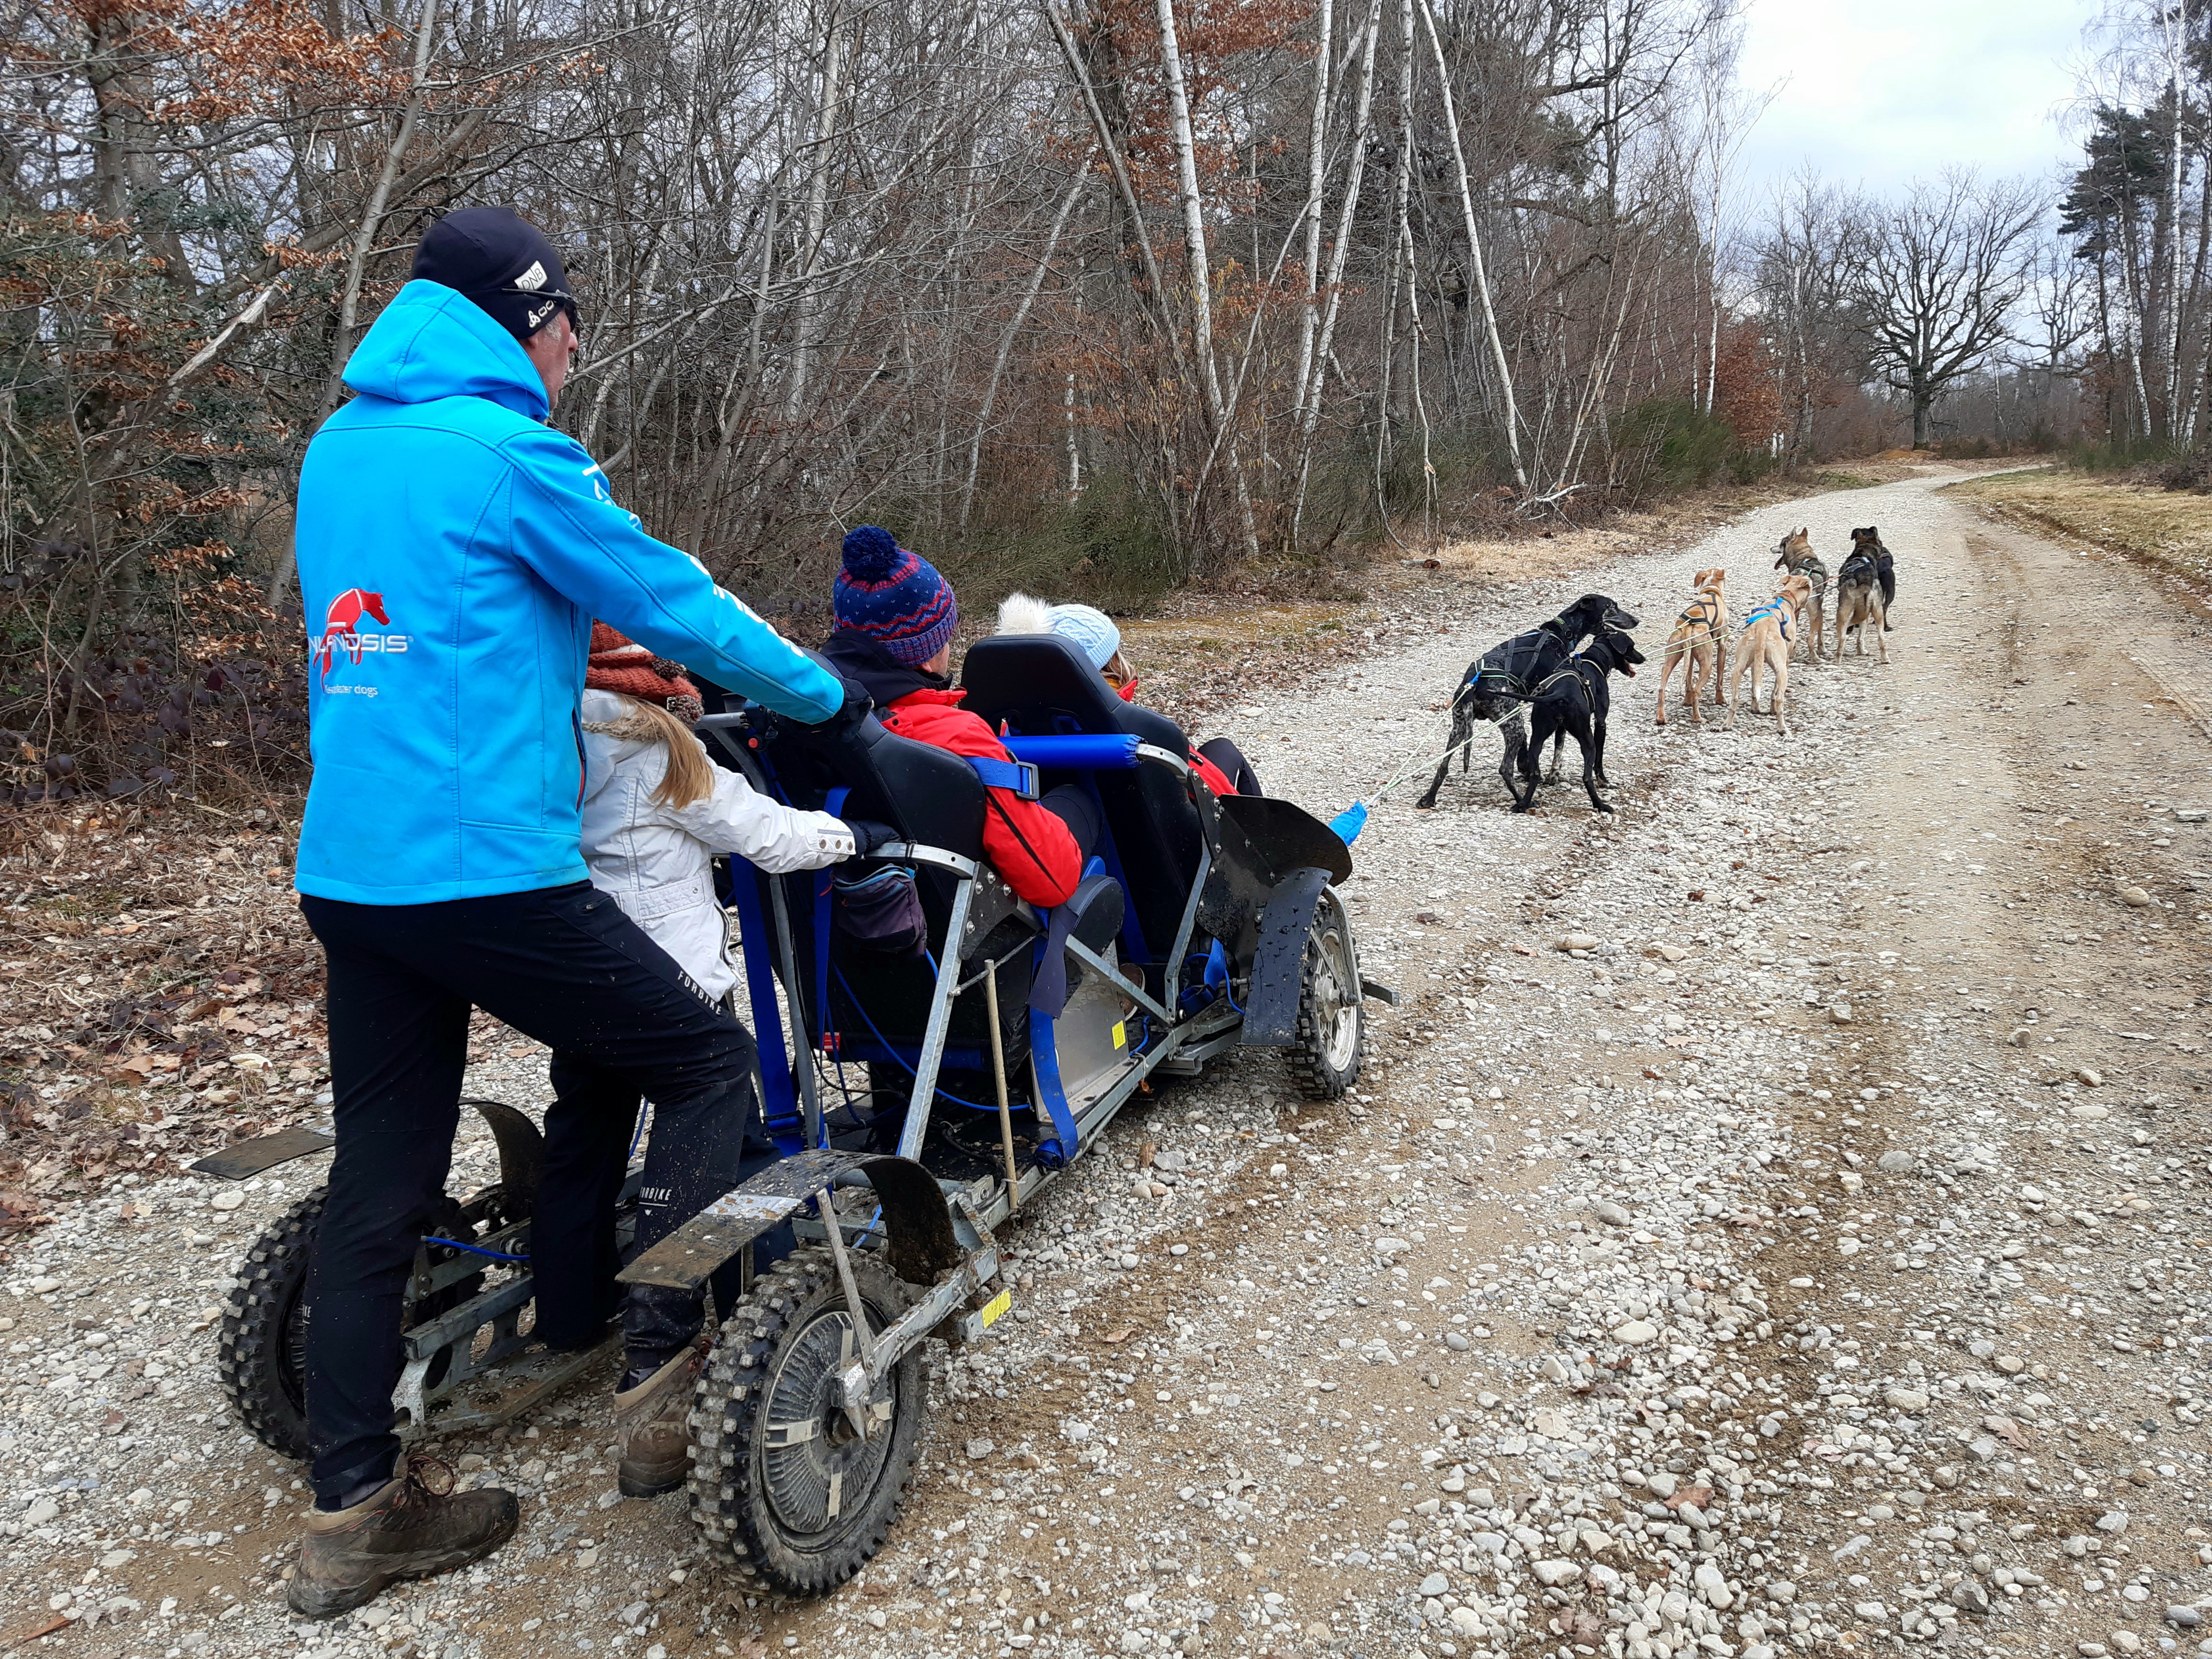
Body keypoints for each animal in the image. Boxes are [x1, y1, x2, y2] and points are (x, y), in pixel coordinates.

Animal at [1513, 628, 1654, 814]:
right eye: (1632, 646)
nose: (1643, 658)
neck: (1593, 660)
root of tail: (1560, 693)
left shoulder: (1561, 728)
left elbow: (1558, 751)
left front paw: (1553, 777)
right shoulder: (1600, 723)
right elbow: (1599, 760)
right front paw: (1604, 781)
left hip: (1537, 738)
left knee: (1535, 773)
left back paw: (1523, 804)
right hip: (1587, 739)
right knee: (1587, 776)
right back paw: (1600, 804)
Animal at [1663, 570, 1725, 725]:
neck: (1711, 591)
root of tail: (1688, 625)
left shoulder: (1689, 656)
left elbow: (1688, 681)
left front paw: (1687, 701)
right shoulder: (1723, 645)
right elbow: (1720, 679)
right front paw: (1721, 700)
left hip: (1671, 658)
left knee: (1661, 688)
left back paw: (1661, 718)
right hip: (1707, 665)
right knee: (1697, 691)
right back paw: (1698, 718)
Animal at [1725, 579, 1814, 743]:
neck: (1784, 598)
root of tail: (1762, 628)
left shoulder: (1755, 664)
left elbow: (1754, 687)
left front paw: (1755, 708)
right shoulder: (1785, 663)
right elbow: (1774, 692)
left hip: (1738, 669)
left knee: (1735, 698)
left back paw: (1727, 725)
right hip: (1783, 672)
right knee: (1779, 699)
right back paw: (1783, 728)